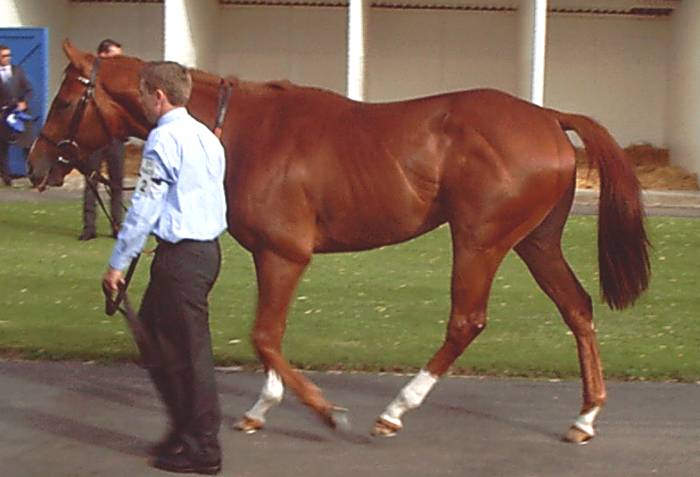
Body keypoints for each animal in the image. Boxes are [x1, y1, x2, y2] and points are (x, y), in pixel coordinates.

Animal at [28, 40, 650, 443]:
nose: (34, 162)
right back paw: (585, 417)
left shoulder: (284, 253)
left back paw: (397, 409)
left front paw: (326, 412)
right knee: (577, 307)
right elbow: (270, 336)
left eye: (65, 101)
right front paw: (261, 408)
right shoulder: (271, 256)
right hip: (535, 241)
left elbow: (265, 336)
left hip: (480, 239)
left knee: (466, 321)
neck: (239, 131)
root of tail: (548, 117)